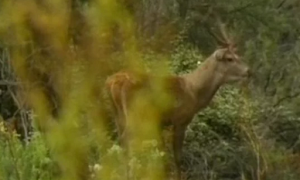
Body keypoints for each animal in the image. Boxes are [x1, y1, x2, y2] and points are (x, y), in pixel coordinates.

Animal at [105, 20, 251, 179]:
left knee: (121, 140)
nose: (248, 71)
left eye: (238, 55)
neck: (193, 92)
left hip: (117, 113)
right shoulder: (181, 119)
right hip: (134, 112)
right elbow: (177, 157)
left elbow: (162, 154)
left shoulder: (160, 123)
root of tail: (113, 83)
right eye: (230, 58)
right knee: (126, 139)